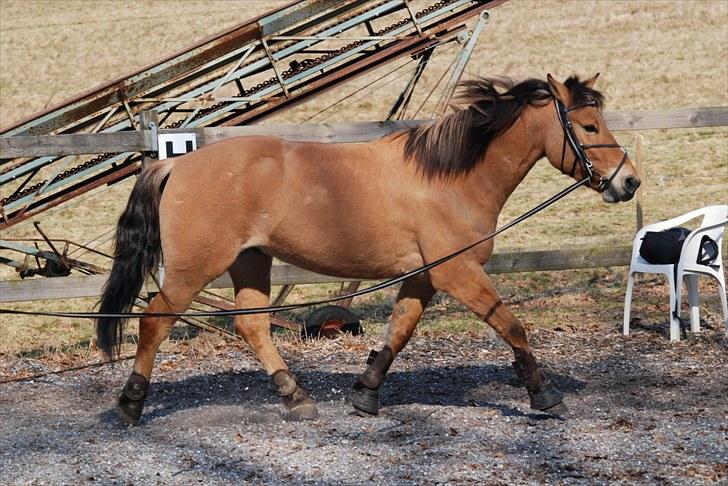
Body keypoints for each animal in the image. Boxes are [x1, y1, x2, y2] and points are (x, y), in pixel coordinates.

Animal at [98, 74, 644, 424]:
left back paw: (296, 397)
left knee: (252, 326)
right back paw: (130, 403)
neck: (450, 176)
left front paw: (365, 393)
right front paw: (545, 395)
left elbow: (398, 332)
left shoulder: (424, 275)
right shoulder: (459, 273)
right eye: (589, 127)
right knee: (154, 321)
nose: (629, 181)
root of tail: (174, 164)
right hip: (193, 269)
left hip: (250, 261)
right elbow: (511, 326)